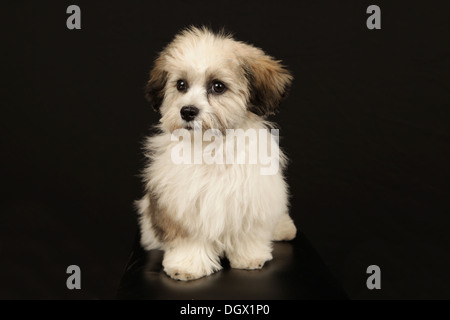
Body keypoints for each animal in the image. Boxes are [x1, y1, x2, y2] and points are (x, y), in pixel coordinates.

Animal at [138, 26, 298, 280]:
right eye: (181, 85)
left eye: (218, 87)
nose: (188, 111)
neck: (212, 147)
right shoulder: (180, 205)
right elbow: (188, 239)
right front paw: (187, 264)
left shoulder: (252, 198)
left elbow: (249, 232)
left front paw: (249, 256)